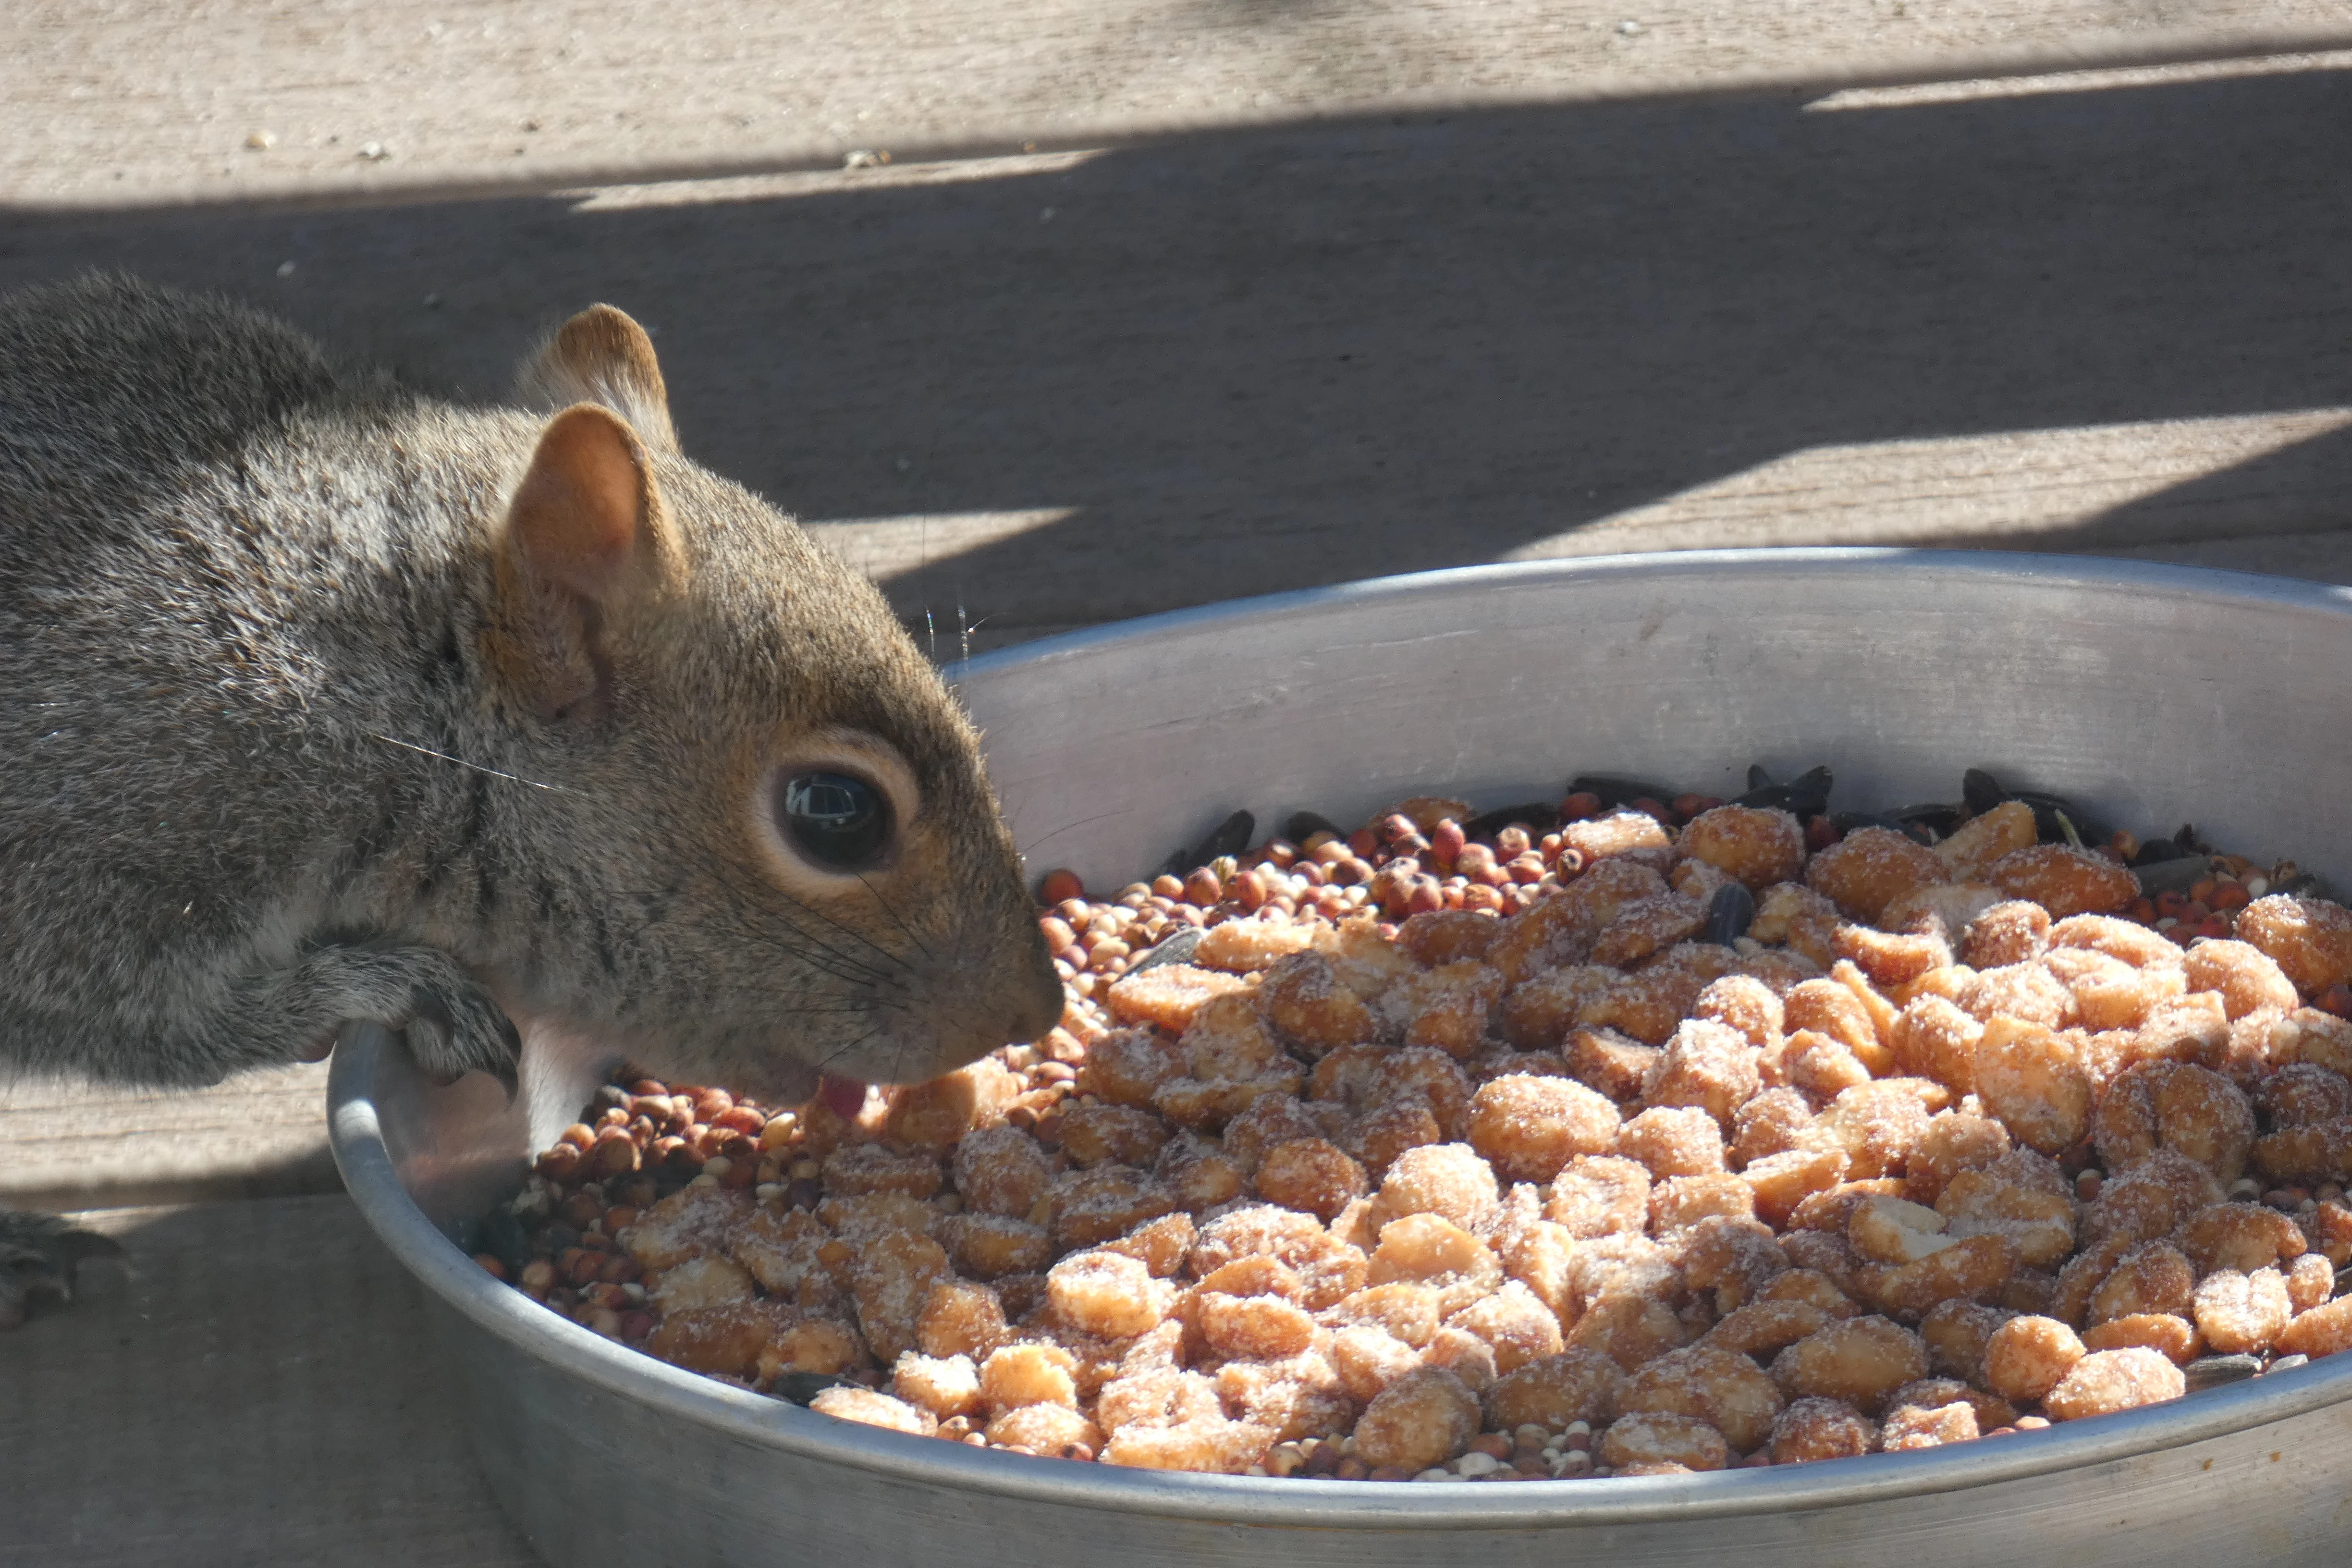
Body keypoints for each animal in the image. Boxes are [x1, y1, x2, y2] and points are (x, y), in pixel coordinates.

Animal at [0, 274, 1063, 1326]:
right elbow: (151, 1018)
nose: (1035, 1007)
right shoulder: (111, 821)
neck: (374, 687)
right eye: (837, 813)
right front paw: (379, 984)